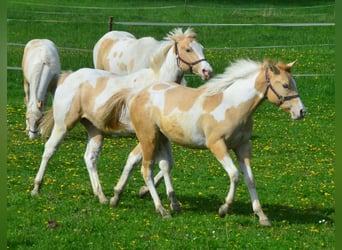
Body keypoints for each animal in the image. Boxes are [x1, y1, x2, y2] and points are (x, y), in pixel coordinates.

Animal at [32, 27, 214, 203]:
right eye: (188, 49)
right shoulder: (146, 134)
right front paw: (122, 192)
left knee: (90, 158)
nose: (207, 71)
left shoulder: (161, 135)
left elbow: (168, 164)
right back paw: (36, 188)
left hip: (95, 129)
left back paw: (101, 196)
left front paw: (144, 191)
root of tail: (69, 76)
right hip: (63, 125)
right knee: (49, 149)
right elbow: (135, 160)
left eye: (201, 48)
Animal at [108, 59, 306, 227]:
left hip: (160, 138)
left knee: (158, 164)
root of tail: (137, 94)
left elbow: (250, 179)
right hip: (148, 137)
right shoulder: (217, 145)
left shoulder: (243, 147)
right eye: (285, 85)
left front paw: (262, 216)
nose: (302, 111)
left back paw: (126, 198)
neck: (233, 106)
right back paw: (161, 209)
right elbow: (235, 175)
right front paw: (224, 208)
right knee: (146, 170)